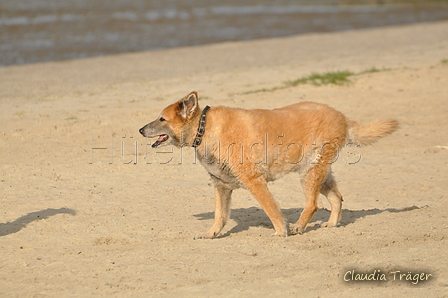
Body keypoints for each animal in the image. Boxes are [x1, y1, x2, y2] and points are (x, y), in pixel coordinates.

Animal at [140, 92, 400, 239]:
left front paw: (280, 232)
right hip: (320, 173)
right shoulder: (221, 186)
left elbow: (271, 210)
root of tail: (344, 117)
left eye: (161, 118)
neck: (205, 129)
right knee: (337, 198)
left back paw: (298, 227)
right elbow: (219, 216)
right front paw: (211, 234)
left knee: (313, 204)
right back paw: (332, 224)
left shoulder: (255, 181)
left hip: (309, 173)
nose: (141, 129)